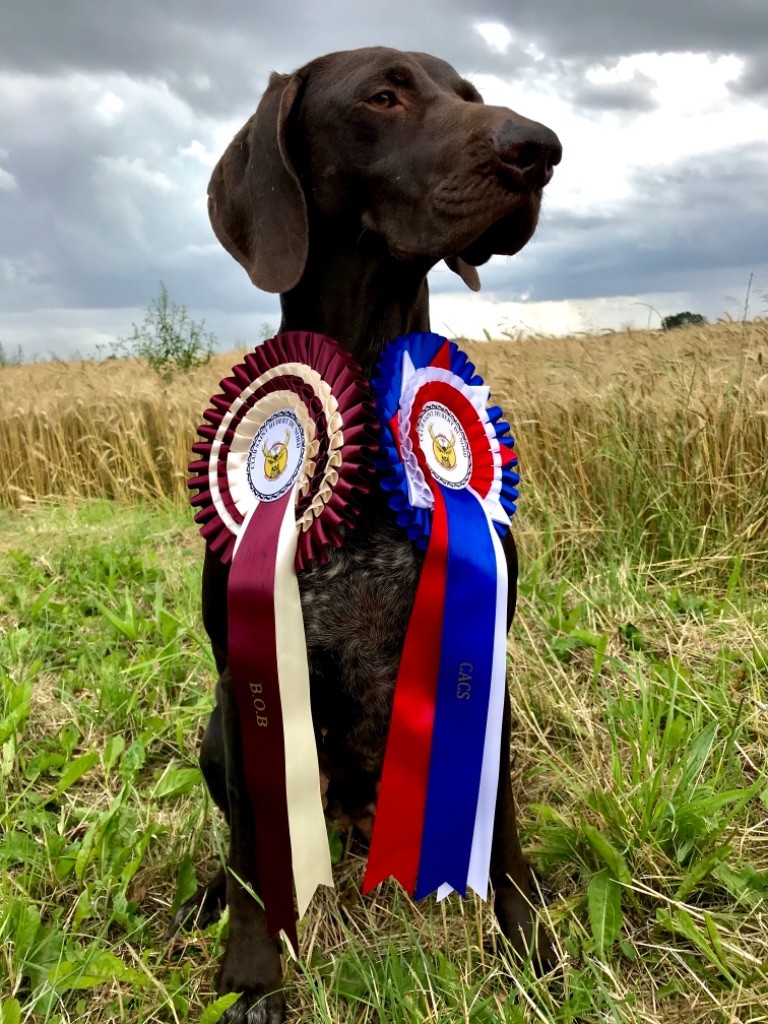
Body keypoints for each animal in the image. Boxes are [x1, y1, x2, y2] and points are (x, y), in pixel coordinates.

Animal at [183, 44, 561, 1019]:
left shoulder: (489, 668)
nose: (539, 149)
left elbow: (503, 826)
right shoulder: (246, 684)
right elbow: (250, 856)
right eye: (383, 95)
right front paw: (251, 972)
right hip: (217, 732)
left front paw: (525, 936)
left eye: (468, 95)